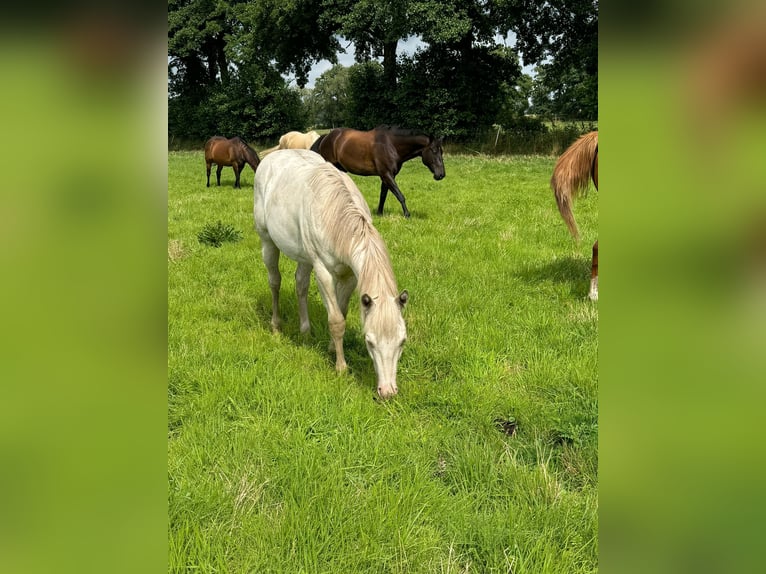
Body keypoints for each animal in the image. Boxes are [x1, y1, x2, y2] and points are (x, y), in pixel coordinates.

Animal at [254, 150, 412, 400]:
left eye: (402, 341)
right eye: (369, 342)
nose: (387, 391)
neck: (335, 216)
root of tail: (273, 155)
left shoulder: (350, 277)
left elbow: (342, 311)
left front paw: (330, 347)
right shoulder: (323, 271)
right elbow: (336, 320)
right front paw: (341, 367)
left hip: (304, 257)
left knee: (300, 285)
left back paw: (305, 331)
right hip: (268, 242)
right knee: (275, 282)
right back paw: (276, 326)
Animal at [310, 126, 444, 218]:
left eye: (441, 151)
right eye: (433, 150)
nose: (441, 174)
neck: (391, 145)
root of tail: (326, 137)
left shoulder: (387, 176)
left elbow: (383, 195)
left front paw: (380, 213)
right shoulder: (387, 175)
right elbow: (400, 195)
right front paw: (407, 214)